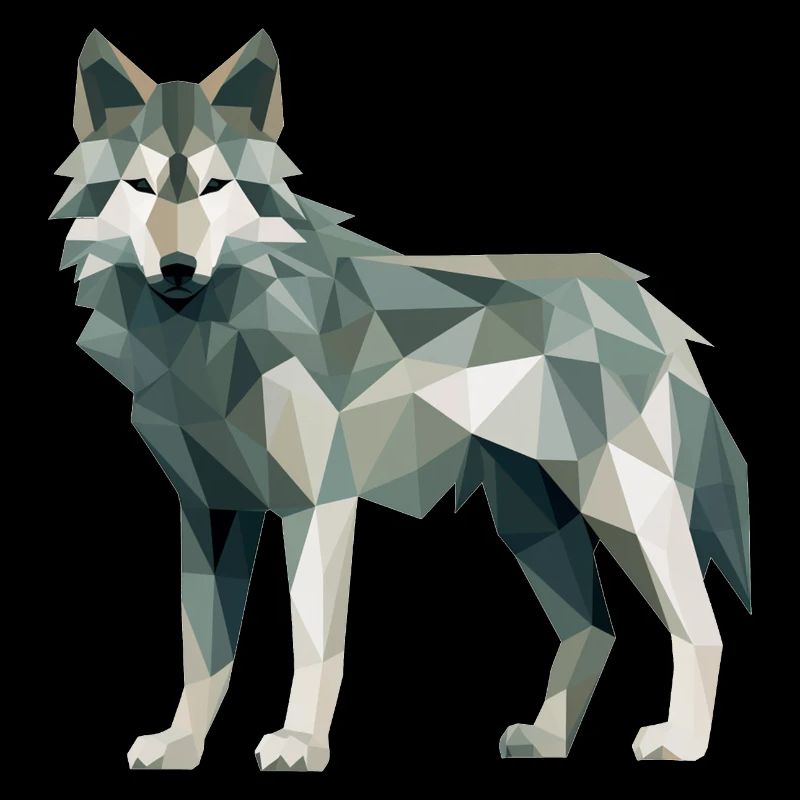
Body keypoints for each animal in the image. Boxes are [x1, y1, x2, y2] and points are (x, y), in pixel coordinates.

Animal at [52, 29, 750, 770]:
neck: (211, 339)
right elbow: (202, 654)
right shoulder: (207, 511)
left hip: (626, 511)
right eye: (139, 185)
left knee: (701, 628)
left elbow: (313, 645)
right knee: (595, 628)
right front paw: (180, 744)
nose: (178, 269)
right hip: (533, 522)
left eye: (215, 187)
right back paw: (548, 740)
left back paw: (680, 742)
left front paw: (299, 744)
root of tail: (652, 307)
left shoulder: (317, 505)